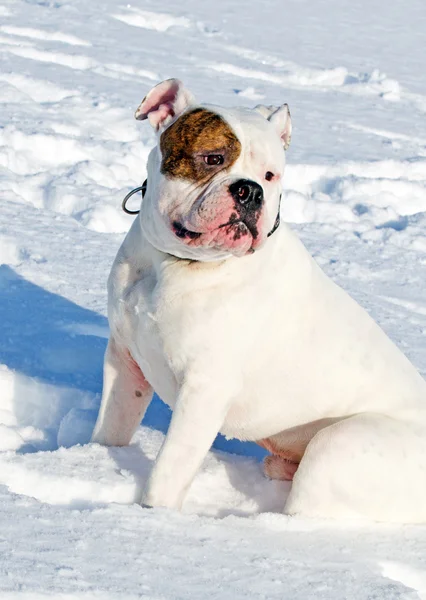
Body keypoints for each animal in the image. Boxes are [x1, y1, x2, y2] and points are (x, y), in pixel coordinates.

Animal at [90, 78, 426, 520]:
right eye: (213, 158)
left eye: (270, 174)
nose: (250, 191)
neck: (174, 265)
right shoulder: (124, 361)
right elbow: (111, 427)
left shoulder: (204, 390)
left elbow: (168, 470)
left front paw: (152, 516)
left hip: (338, 446)